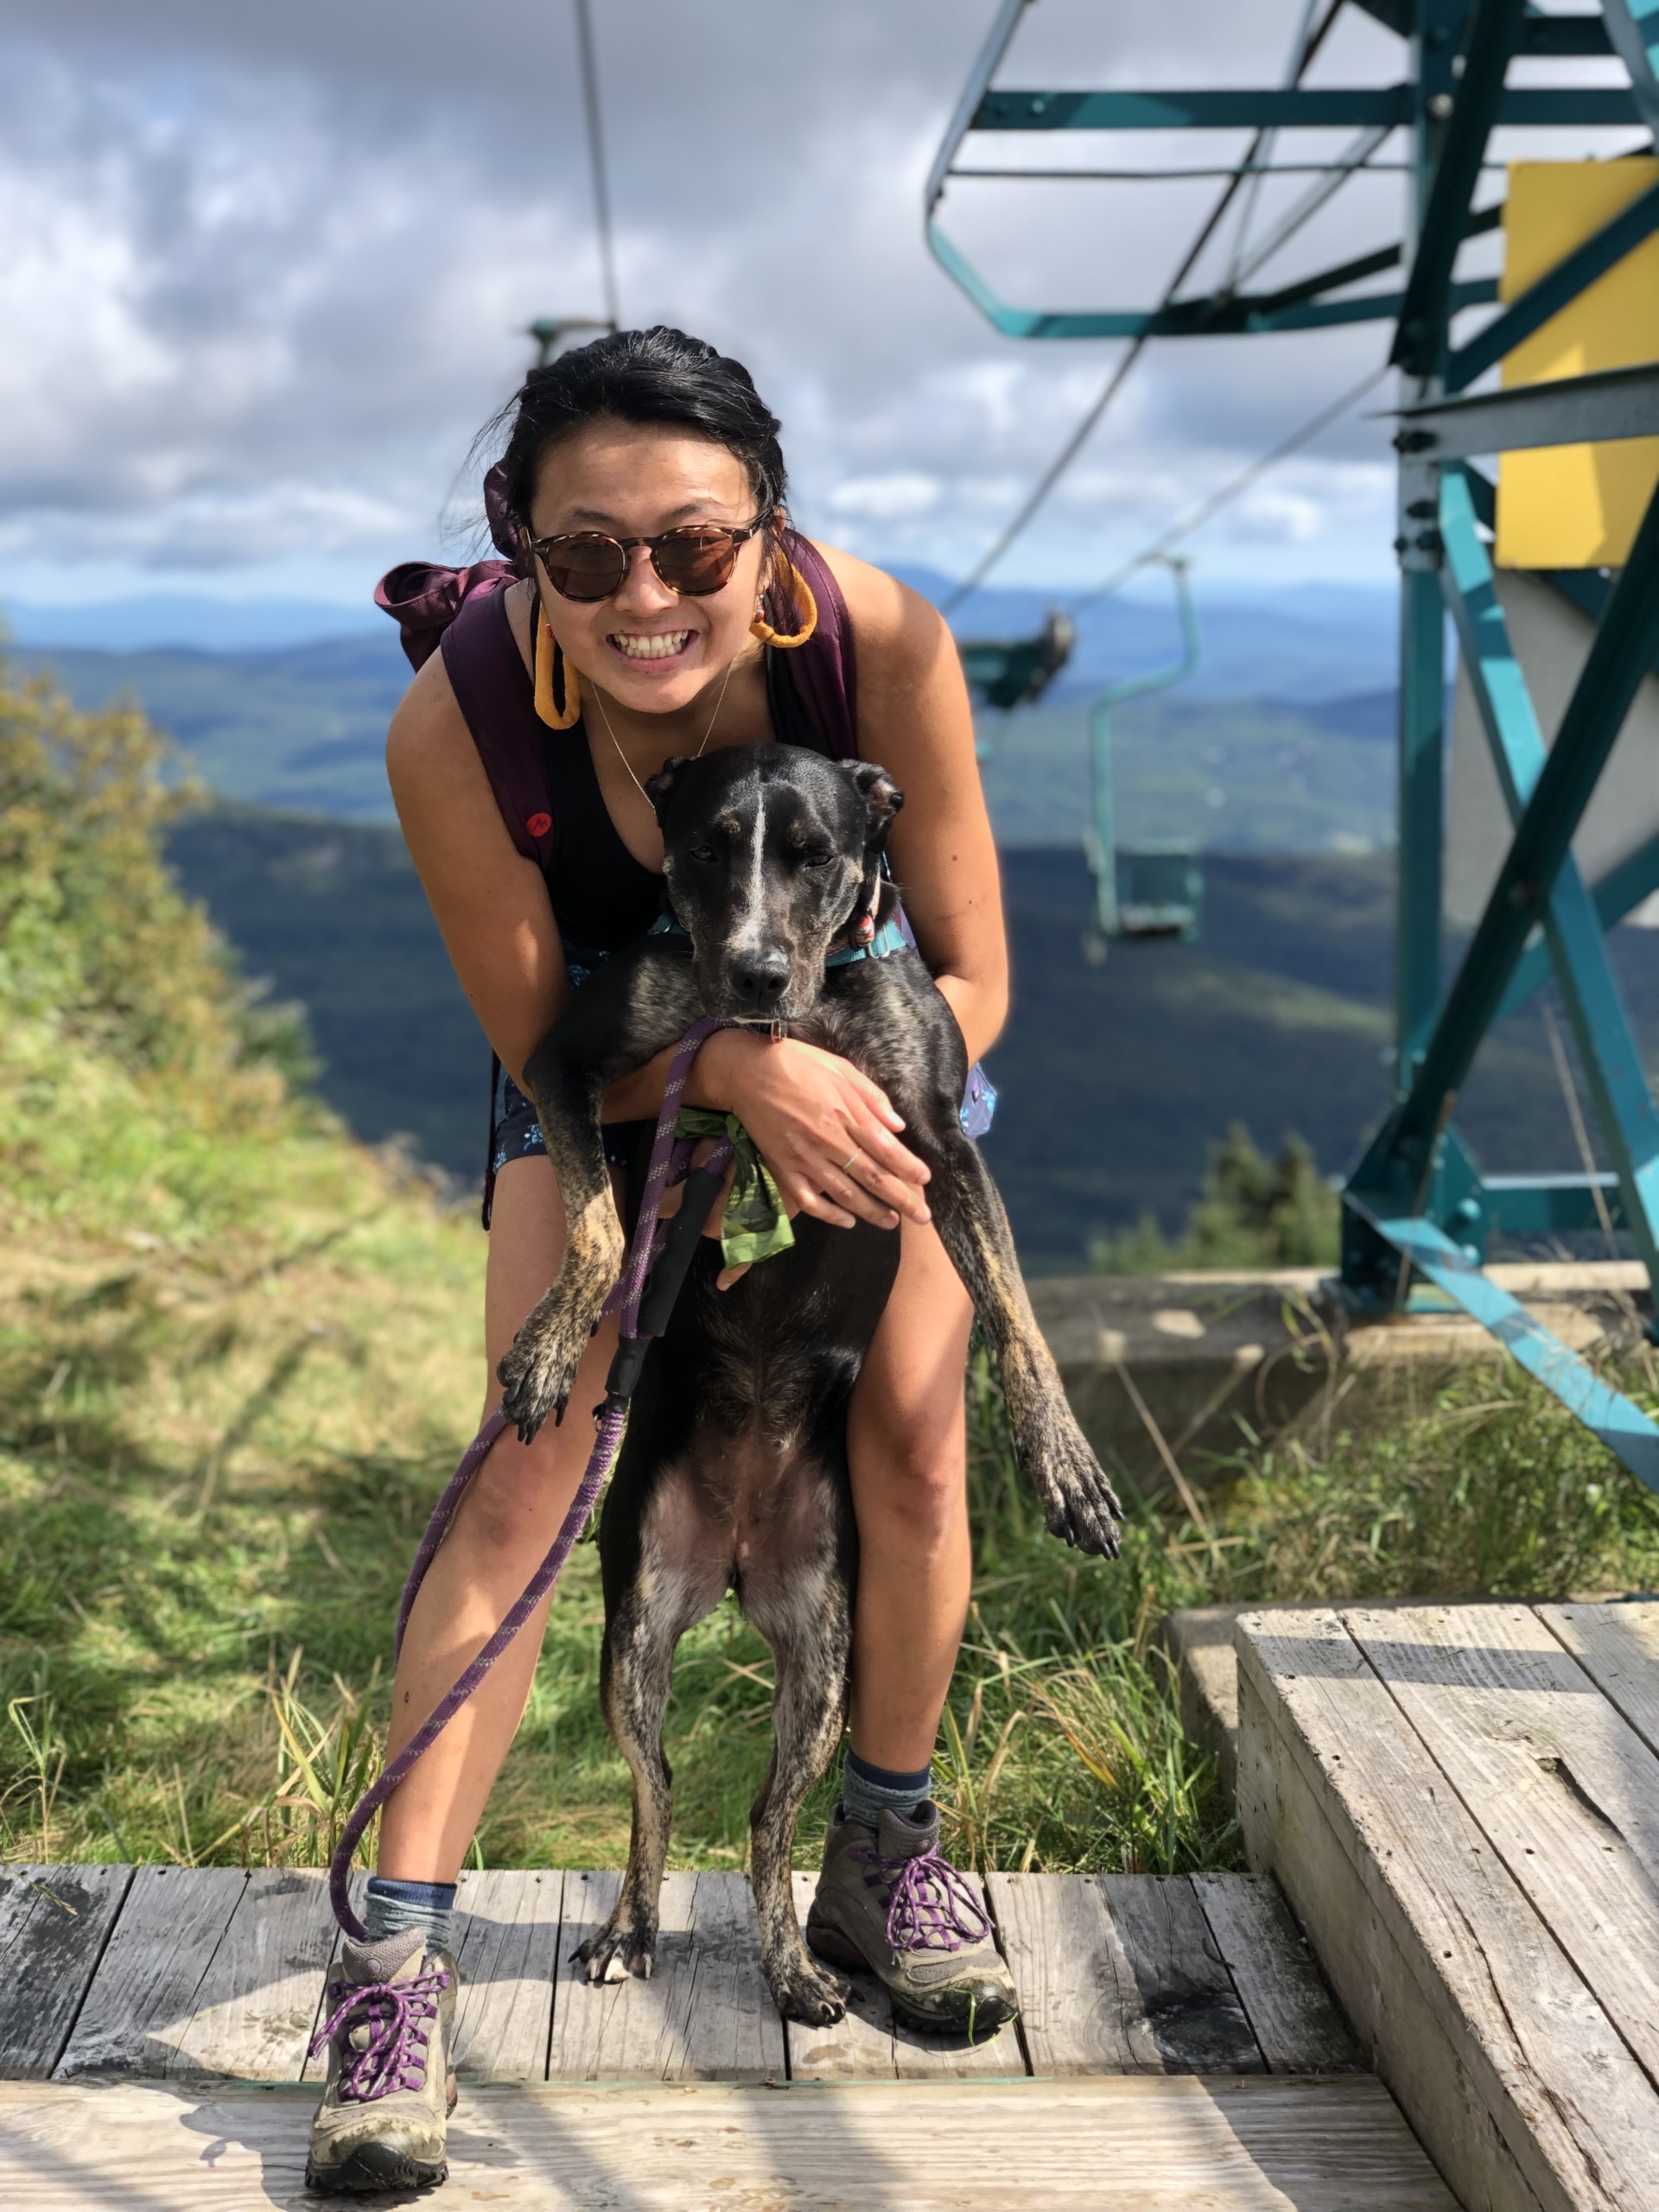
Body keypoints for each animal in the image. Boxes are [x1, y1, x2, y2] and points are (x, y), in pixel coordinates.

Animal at [499, 743, 1123, 2025]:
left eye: (815, 854)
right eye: (702, 845)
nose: (753, 969)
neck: (803, 1016)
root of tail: (737, 1555)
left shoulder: (938, 1136)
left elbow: (1016, 1312)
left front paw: (1064, 1463)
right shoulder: (571, 1062)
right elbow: (599, 1223)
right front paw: (546, 1344)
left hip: (825, 1664)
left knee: (764, 1819)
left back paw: (795, 1968)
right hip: (636, 1631)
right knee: (657, 1791)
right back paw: (631, 1930)